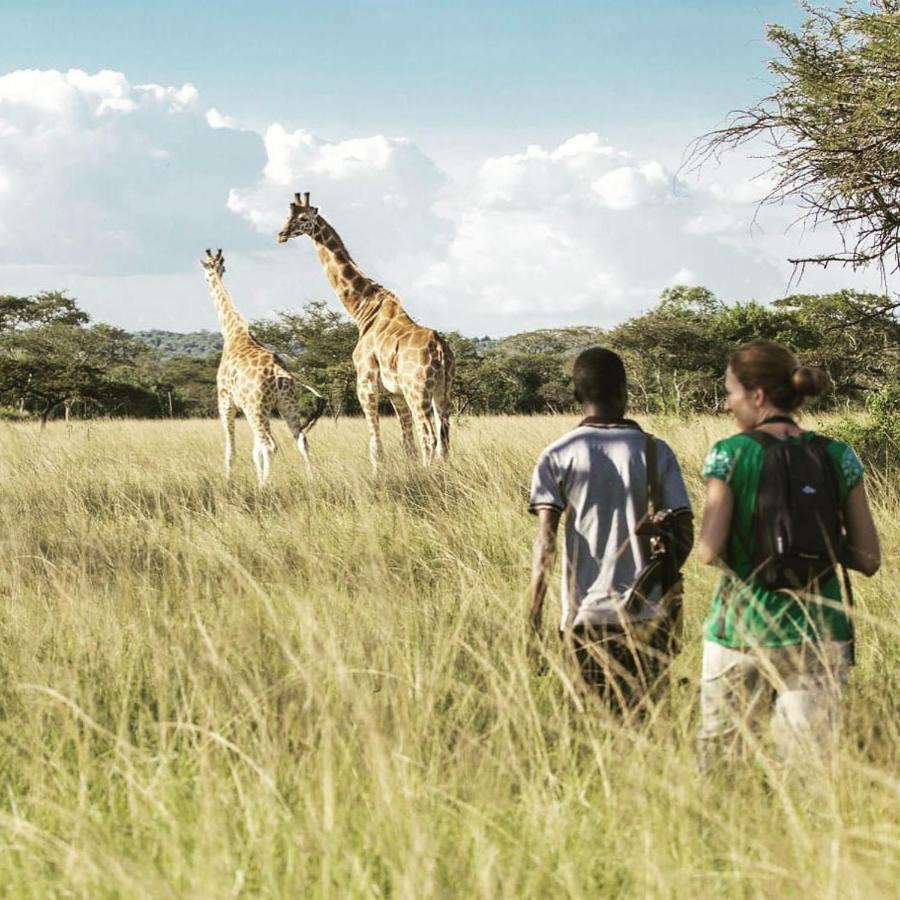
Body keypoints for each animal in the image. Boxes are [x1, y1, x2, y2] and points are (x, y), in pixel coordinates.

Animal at [200, 246, 324, 486]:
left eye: (207, 271)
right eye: (220, 268)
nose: (208, 279)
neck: (232, 333)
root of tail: (280, 370)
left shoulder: (225, 400)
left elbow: (231, 449)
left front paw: (228, 481)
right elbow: (254, 450)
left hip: (255, 407)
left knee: (269, 445)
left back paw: (263, 487)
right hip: (286, 402)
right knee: (301, 440)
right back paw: (311, 481)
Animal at [276, 192, 458, 472]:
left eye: (304, 218)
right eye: (287, 215)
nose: (282, 234)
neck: (363, 310)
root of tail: (440, 350)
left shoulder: (366, 380)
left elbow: (375, 444)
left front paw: (378, 474)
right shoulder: (395, 393)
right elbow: (407, 444)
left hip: (417, 389)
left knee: (429, 435)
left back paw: (429, 474)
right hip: (442, 389)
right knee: (444, 435)